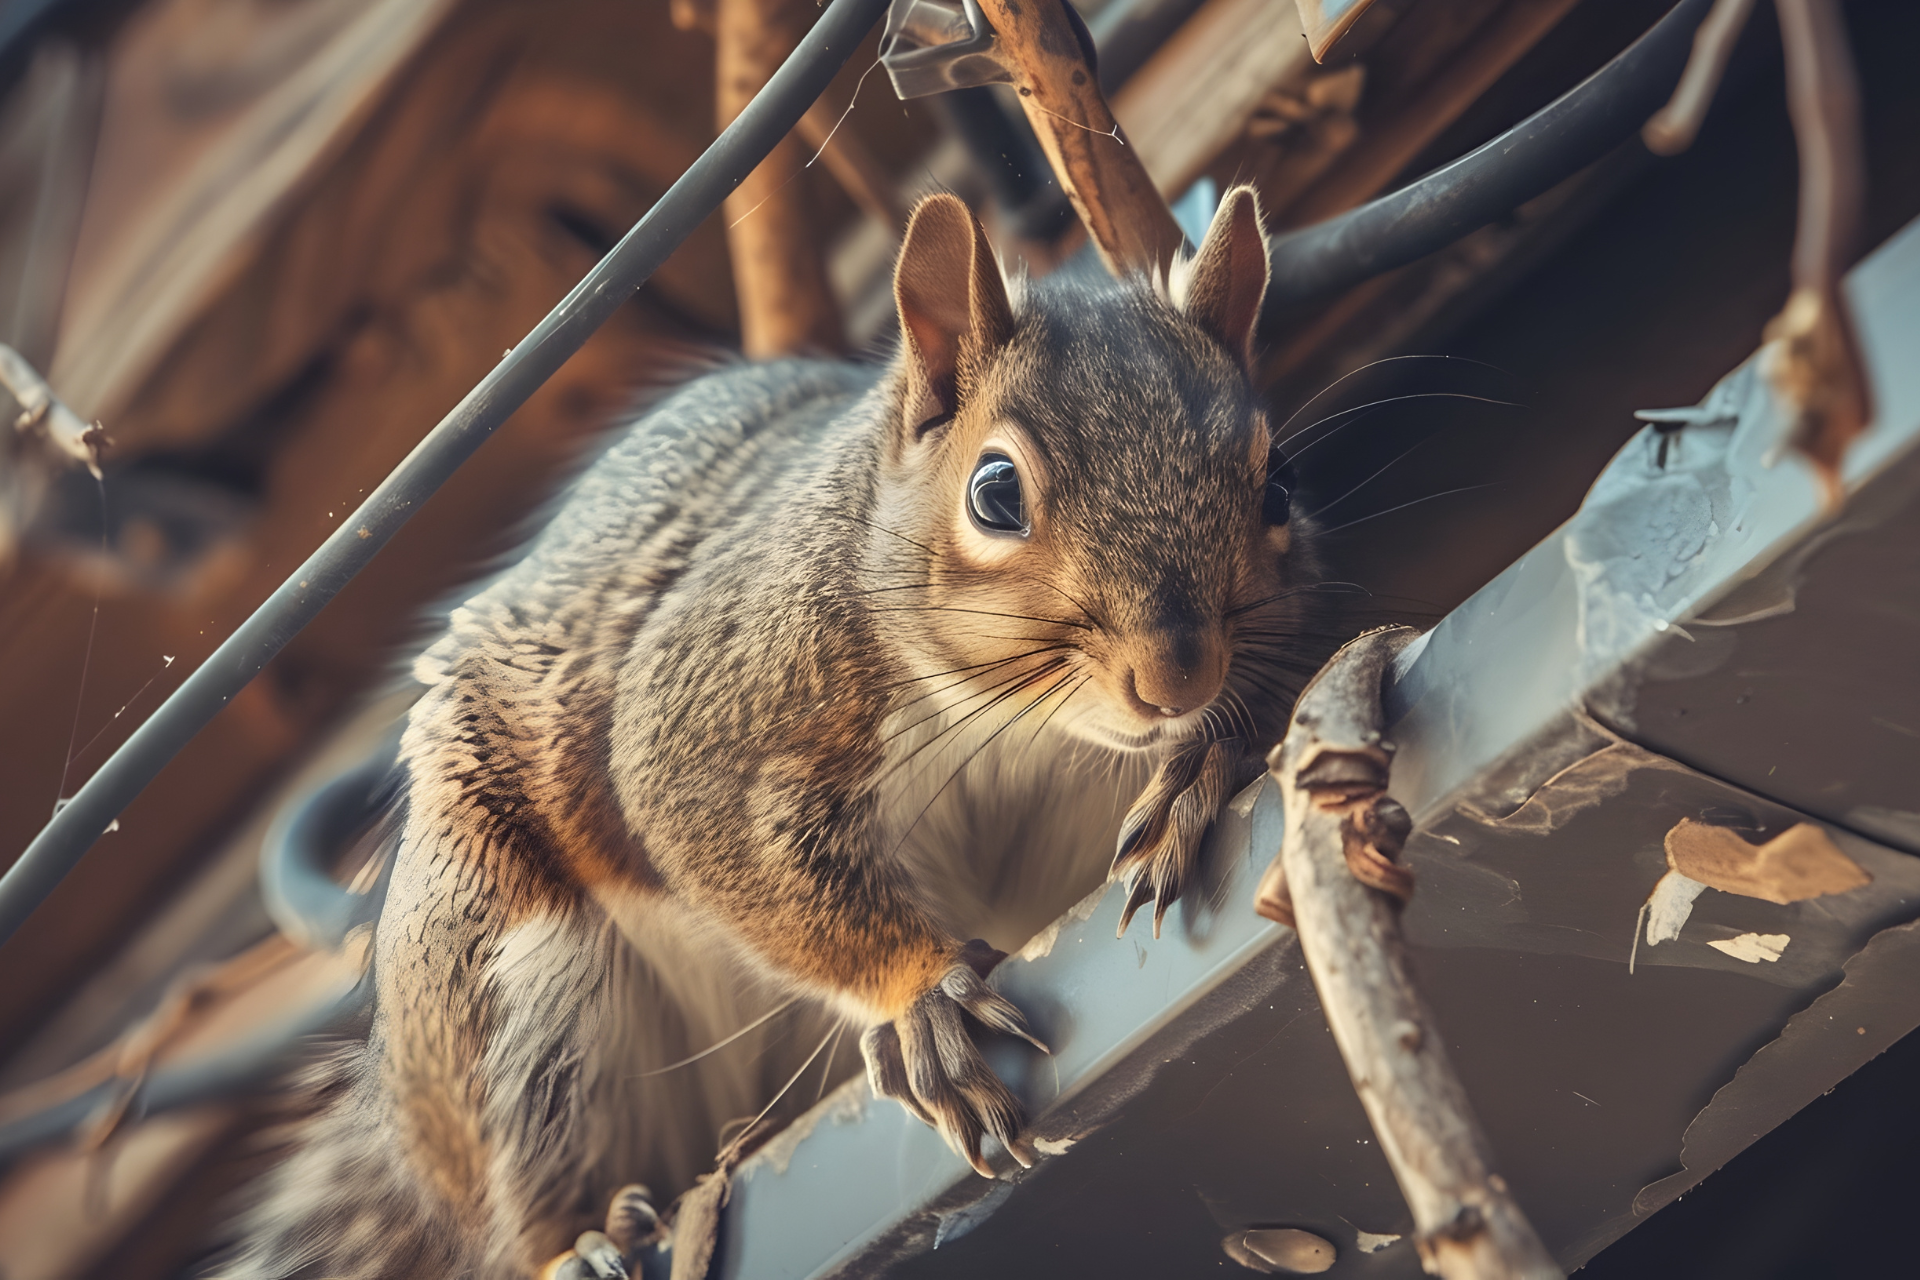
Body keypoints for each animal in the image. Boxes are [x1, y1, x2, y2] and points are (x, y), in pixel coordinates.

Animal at [210, 188, 1320, 1280]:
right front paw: (920, 994)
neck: (1018, 726)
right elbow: (731, 848)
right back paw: (578, 1240)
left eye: (1276, 483)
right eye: (996, 492)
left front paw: (1198, 775)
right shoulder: (705, 719)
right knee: (519, 1184)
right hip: (506, 992)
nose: (1176, 676)